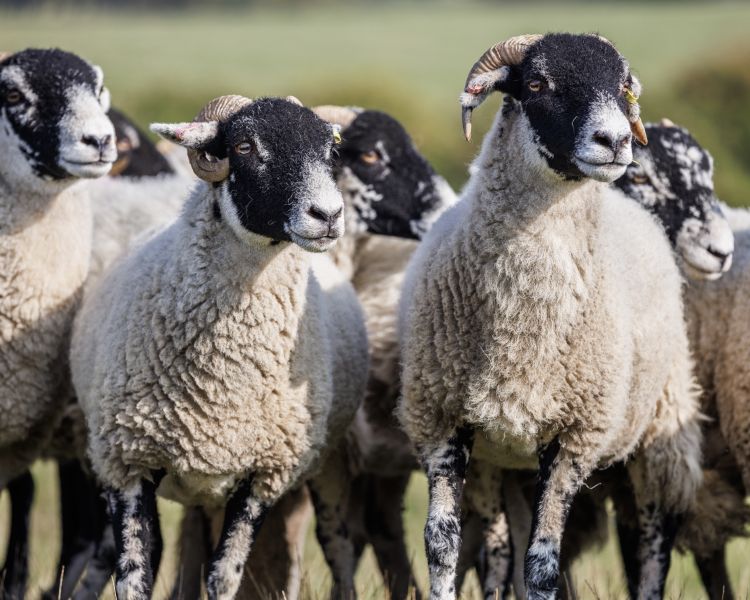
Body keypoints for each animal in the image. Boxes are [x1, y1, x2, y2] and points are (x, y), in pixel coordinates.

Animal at [70, 95, 369, 600]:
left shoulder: (263, 474)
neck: (222, 382)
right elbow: (135, 575)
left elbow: (225, 572)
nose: (328, 216)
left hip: (327, 464)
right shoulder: (127, 463)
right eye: (246, 146)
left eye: (331, 149)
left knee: (340, 545)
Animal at [398, 33, 703, 600]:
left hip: (661, 428)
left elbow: (542, 562)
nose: (615, 141)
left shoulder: (574, 436)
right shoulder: (442, 417)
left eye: (622, 87)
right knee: (500, 545)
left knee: (655, 538)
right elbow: (441, 542)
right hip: (502, 465)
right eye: (538, 83)